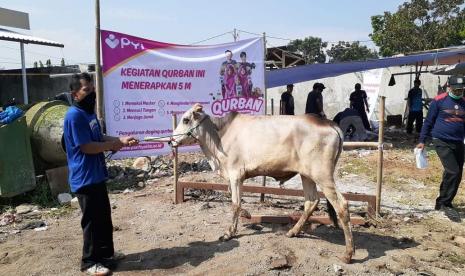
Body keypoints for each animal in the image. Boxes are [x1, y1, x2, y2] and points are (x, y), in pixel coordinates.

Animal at [170, 103, 356, 264]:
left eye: (185, 119)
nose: (171, 140)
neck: (220, 135)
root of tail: (329, 123)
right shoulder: (236, 177)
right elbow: (235, 199)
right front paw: (246, 214)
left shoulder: (235, 174)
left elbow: (235, 203)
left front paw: (229, 233)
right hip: (307, 175)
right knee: (311, 201)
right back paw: (293, 232)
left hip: (323, 176)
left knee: (341, 205)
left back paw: (348, 254)